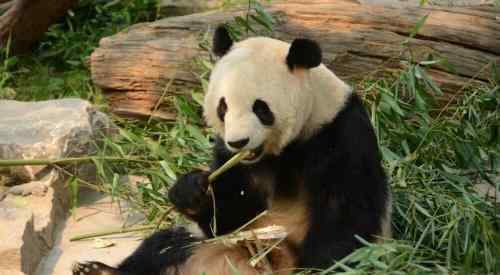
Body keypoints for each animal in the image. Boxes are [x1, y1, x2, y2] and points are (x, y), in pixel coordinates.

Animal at [72, 25, 390, 275]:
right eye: (223, 107)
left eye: (261, 108)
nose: (238, 142)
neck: (284, 150)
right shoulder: (232, 159)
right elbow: (231, 215)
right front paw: (191, 190)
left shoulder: (339, 133)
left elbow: (345, 215)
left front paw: (318, 267)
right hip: (210, 245)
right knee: (165, 246)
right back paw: (98, 271)